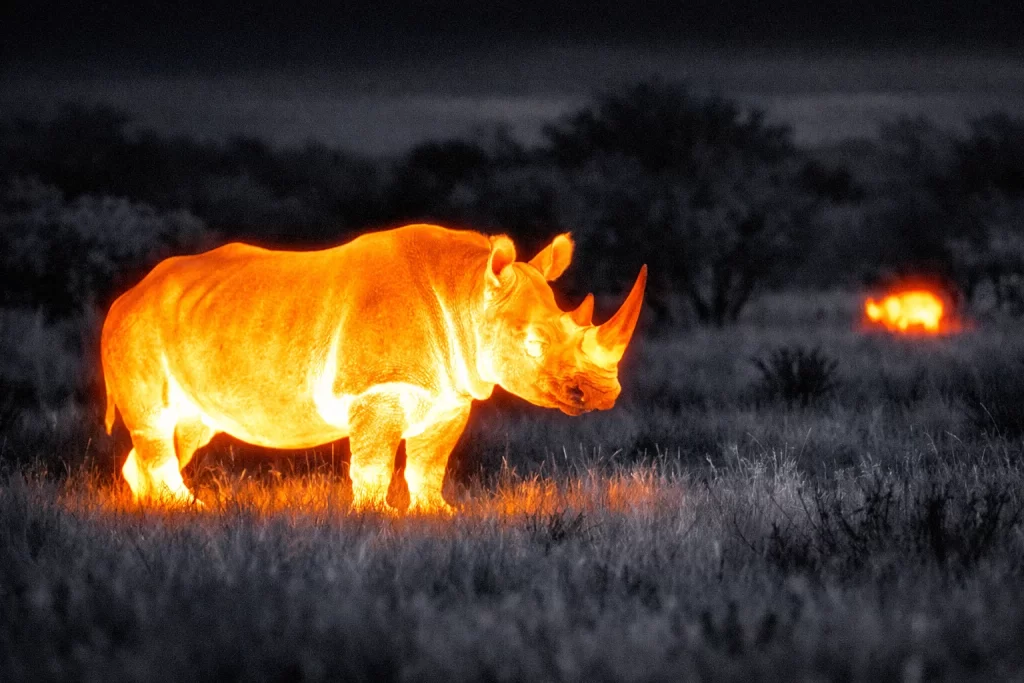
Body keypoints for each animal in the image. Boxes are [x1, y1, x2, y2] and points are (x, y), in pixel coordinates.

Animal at [101, 224, 646, 510]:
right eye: (535, 345)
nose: (604, 394)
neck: (468, 291)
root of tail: (128, 293)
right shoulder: (380, 386)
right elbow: (374, 462)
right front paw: (377, 515)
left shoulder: (451, 393)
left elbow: (429, 462)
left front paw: (438, 513)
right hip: (137, 327)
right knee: (155, 422)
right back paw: (186, 507)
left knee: (188, 427)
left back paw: (155, 508)